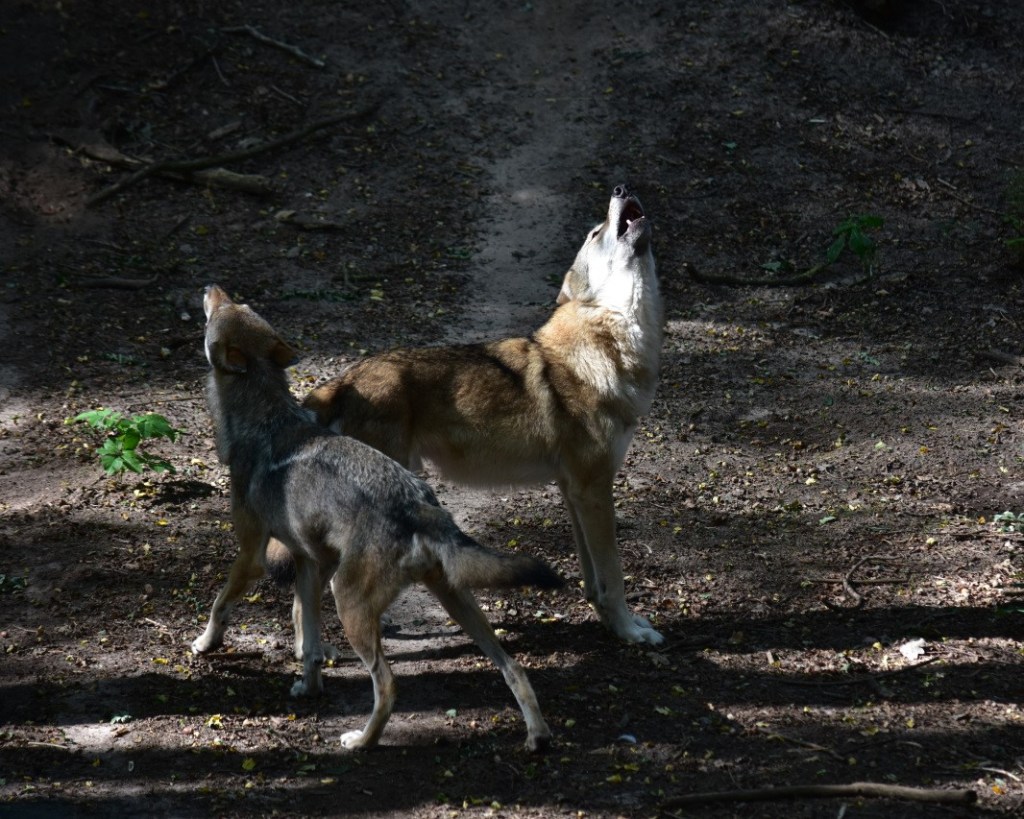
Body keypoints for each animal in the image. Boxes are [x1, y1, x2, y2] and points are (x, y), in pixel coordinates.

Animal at [192, 285, 561, 751]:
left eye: (222, 310)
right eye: (239, 305)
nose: (209, 288)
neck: (263, 417)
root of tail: (420, 505)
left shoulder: (251, 554)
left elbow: (220, 603)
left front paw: (204, 644)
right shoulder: (309, 563)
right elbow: (309, 641)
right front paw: (308, 686)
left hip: (349, 601)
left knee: (388, 685)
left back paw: (362, 741)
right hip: (455, 601)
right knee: (513, 667)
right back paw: (537, 735)